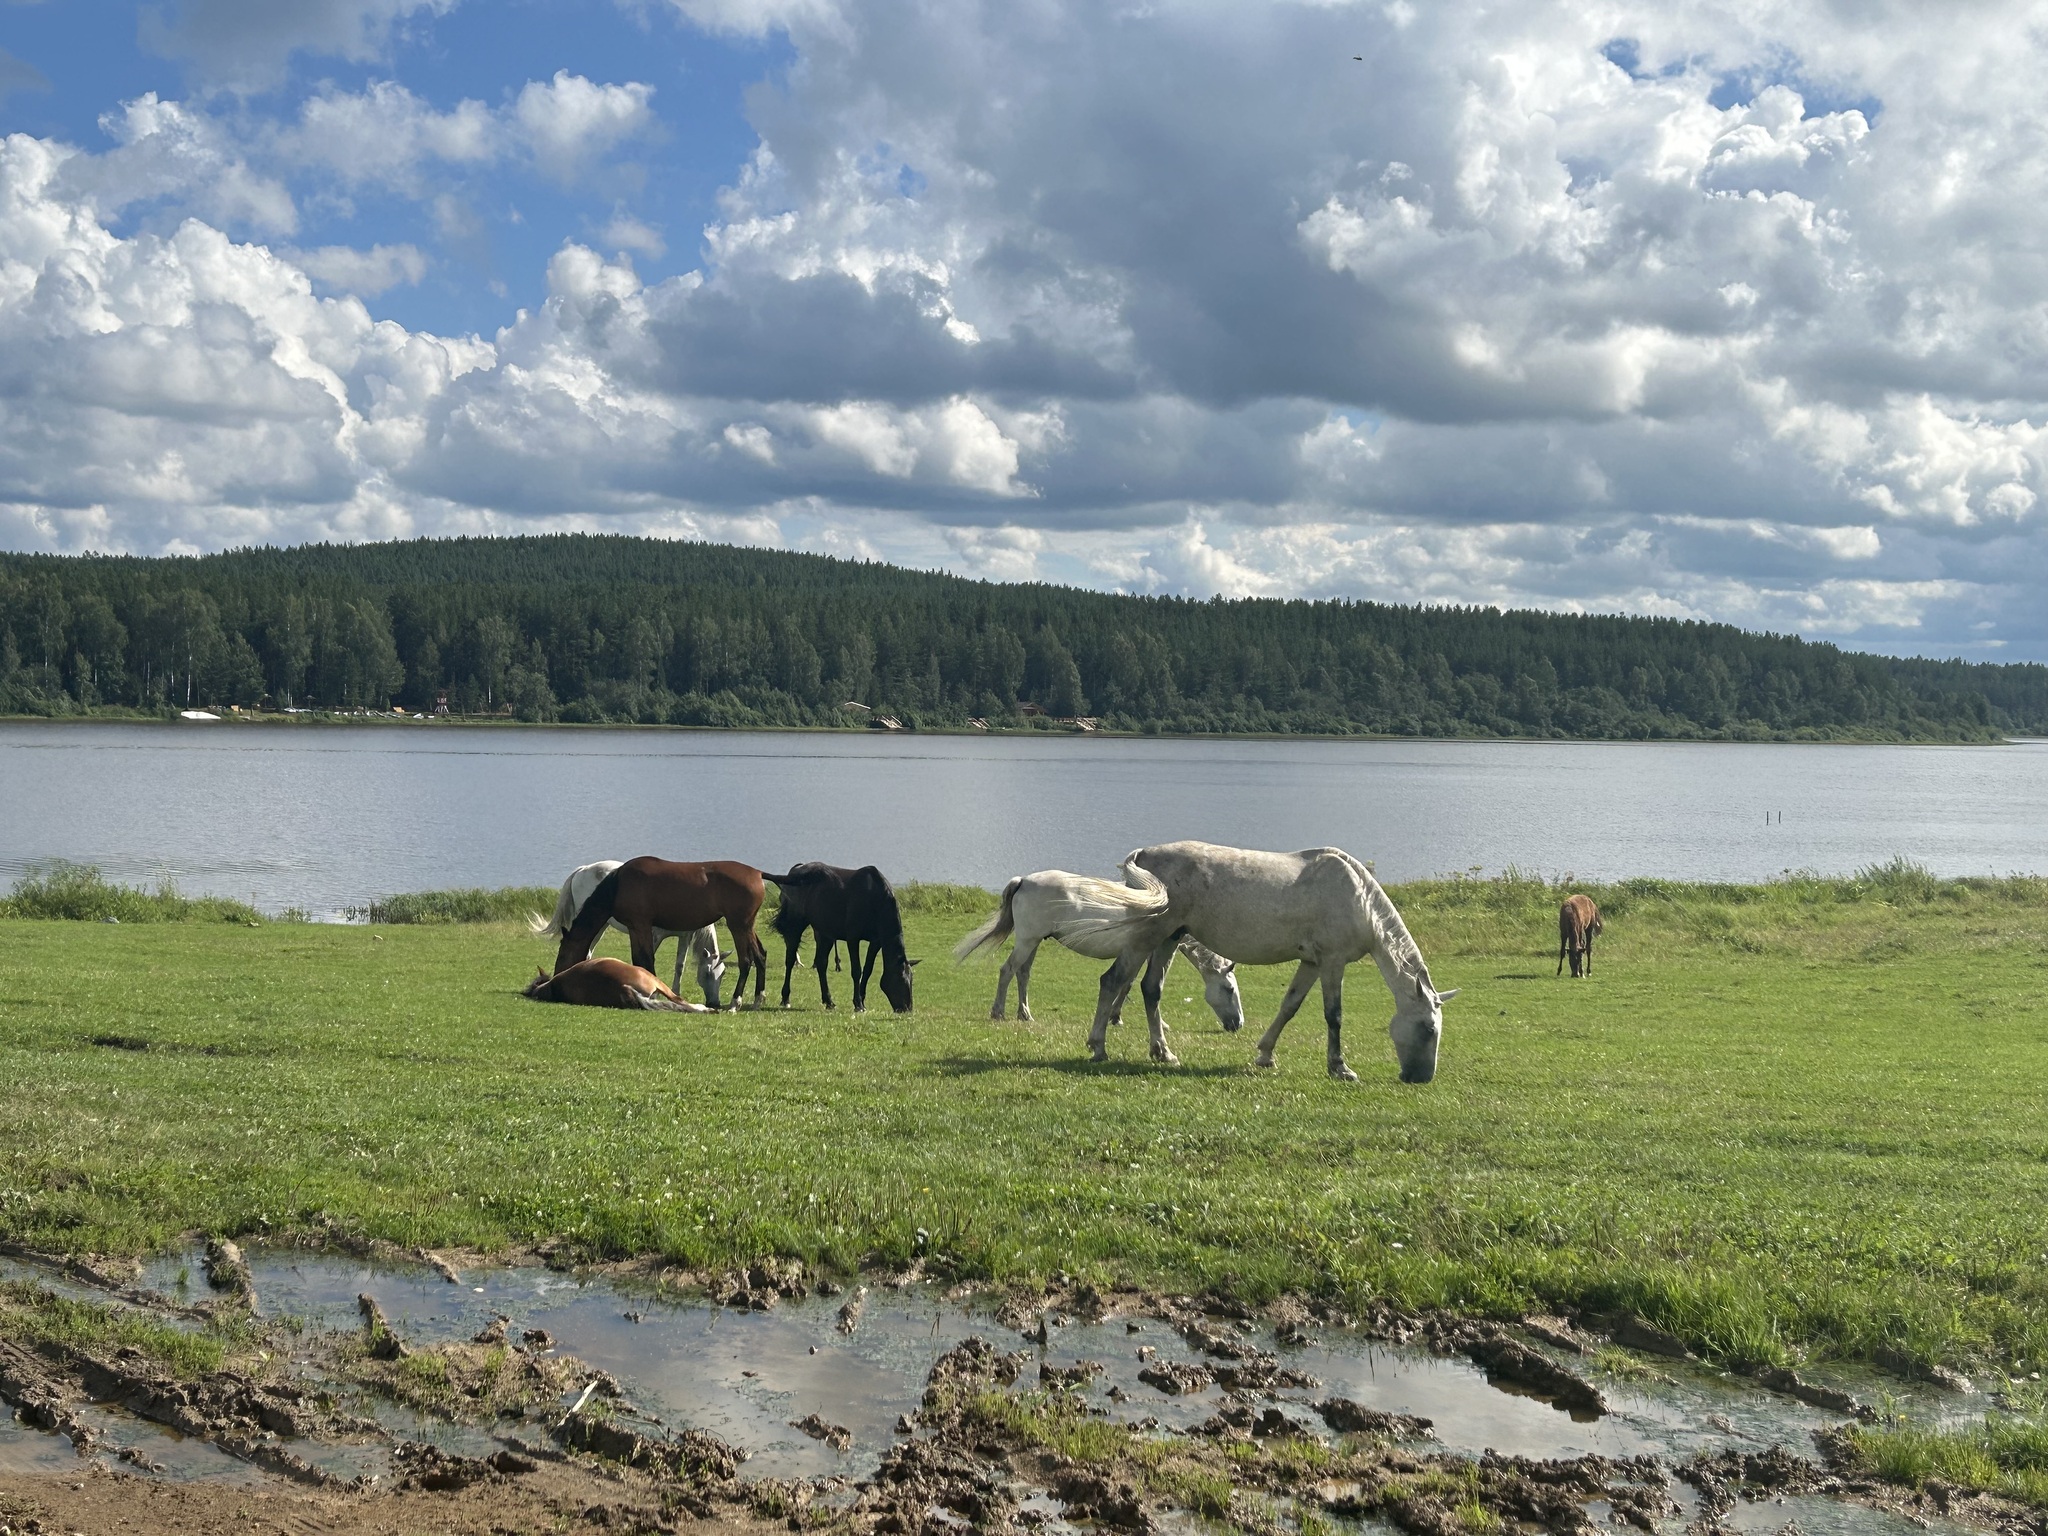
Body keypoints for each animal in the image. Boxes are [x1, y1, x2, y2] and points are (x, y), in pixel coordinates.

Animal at [528, 868, 729, 1011]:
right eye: (708, 973)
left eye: (723, 974)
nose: (715, 1003)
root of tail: (581, 870)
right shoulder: (653, 935)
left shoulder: (684, 937)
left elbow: (679, 966)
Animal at [552, 860, 770, 1003]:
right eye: (709, 974)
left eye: (722, 974)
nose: (556, 976)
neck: (617, 884)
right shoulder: (643, 929)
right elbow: (645, 960)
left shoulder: (649, 929)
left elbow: (657, 961)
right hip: (745, 926)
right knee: (759, 956)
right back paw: (756, 1000)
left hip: (740, 926)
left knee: (749, 959)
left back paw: (738, 1002)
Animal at [765, 860, 917, 1015]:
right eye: (900, 978)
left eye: (911, 980)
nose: (907, 1008)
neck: (876, 900)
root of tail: (795, 870)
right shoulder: (853, 938)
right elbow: (857, 970)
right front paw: (858, 1004)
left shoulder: (876, 941)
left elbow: (867, 970)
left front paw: (862, 1000)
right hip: (795, 924)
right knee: (790, 960)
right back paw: (785, 998)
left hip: (825, 933)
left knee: (821, 964)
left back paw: (829, 1001)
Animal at [958, 868, 1245, 1036]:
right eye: (1230, 989)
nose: (1238, 1024)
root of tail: (1024, 880)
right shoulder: (1141, 953)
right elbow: (1129, 985)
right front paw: (1125, 1019)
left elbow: (1126, 984)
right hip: (1028, 941)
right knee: (1008, 970)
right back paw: (998, 1012)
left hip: (1033, 941)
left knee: (1023, 973)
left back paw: (1025, 1014)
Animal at [1105, 843, 1458, 1081]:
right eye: (1428, 1029)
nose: (1421, 1078)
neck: (1360, 899)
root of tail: (1142, 854)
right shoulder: (1332, 962)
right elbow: (1334, 1015)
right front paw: (1340, 1067)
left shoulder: (1312, 963)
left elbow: (1289, 1006)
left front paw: (1265, 1055)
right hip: (1153, 936)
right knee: (1121, 980)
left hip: (1169, 938)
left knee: (1150, 989)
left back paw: (1162, 1052)